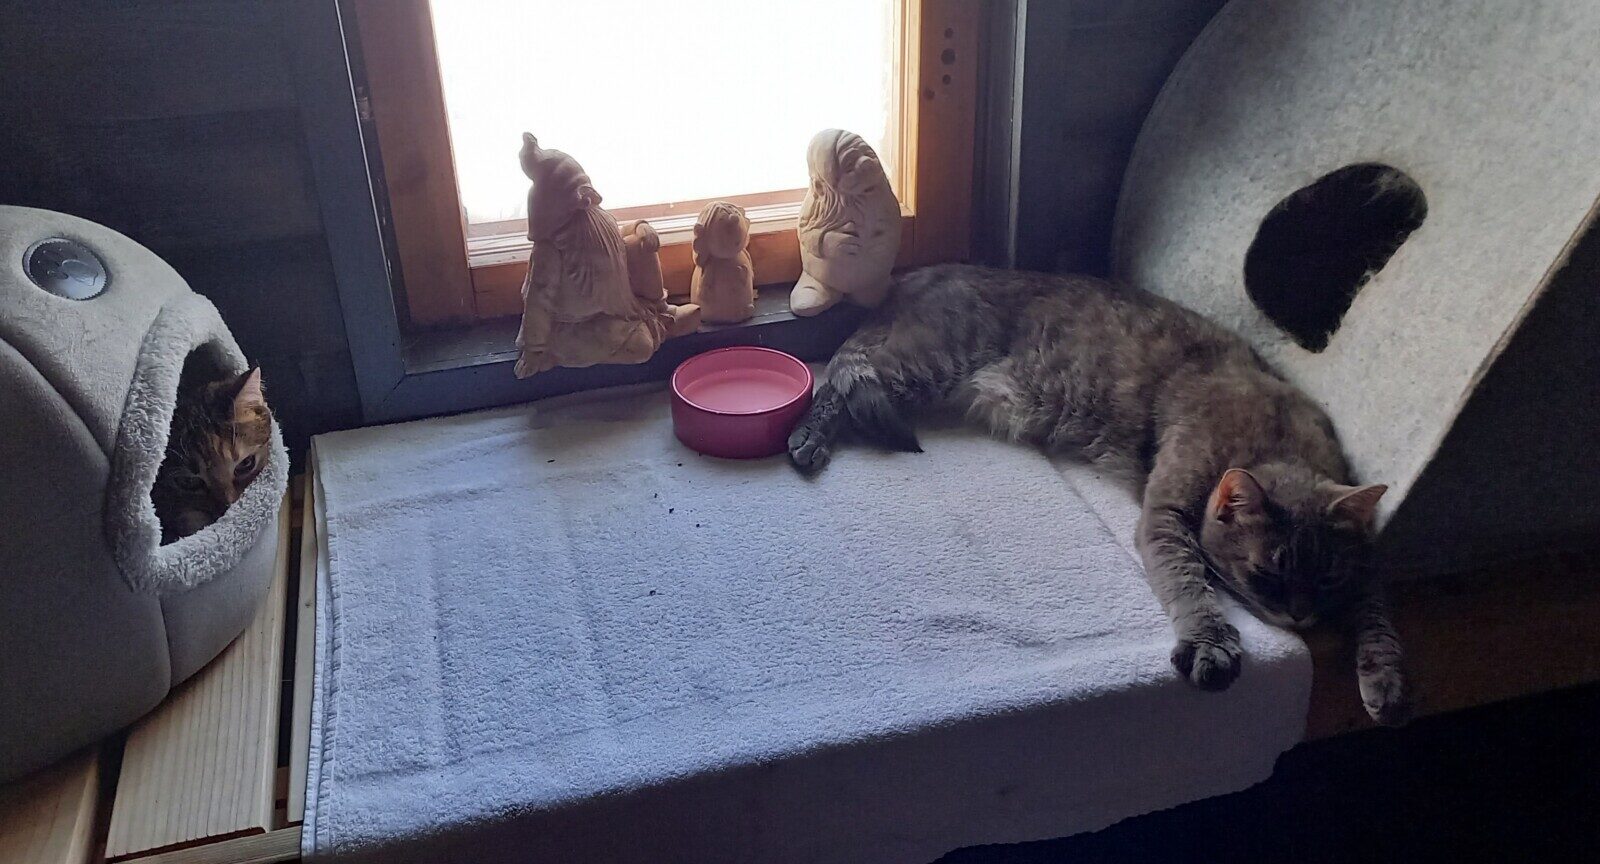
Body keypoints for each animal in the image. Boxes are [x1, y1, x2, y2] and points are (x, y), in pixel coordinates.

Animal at [788, 264, 1409, 725]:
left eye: (1326, 576)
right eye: (1265, 573)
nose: (1302, 617)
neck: (1273, 439)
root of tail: (913, 276)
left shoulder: (1363, 560)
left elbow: (1377, 610)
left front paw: (1384, 677)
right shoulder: (1164, 515)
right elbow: (1191, 585)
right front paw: (1211, 642)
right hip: (922, 365)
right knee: (838, 383)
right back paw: (808, 440)